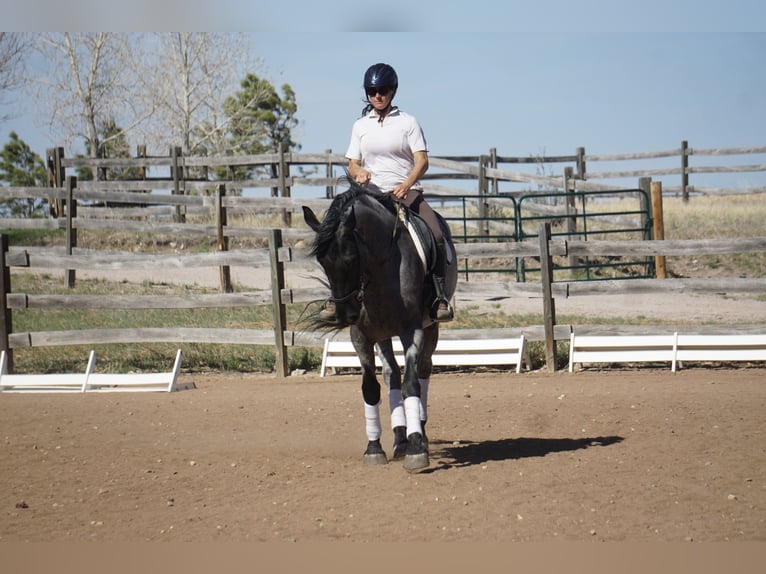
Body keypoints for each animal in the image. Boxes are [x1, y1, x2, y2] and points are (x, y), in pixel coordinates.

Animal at [304, 181, 460, 472]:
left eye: (351, 258)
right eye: (322, 262)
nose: (345, 314)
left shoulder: (413, 329)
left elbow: (412, 385)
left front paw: (416, 449)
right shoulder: (361, 336)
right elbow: (370, 388)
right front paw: (374, 448)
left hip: (430, 326)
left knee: (423, 371)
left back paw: (419, 433)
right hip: (383, 334)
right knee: (392, 375)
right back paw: (399, 438)